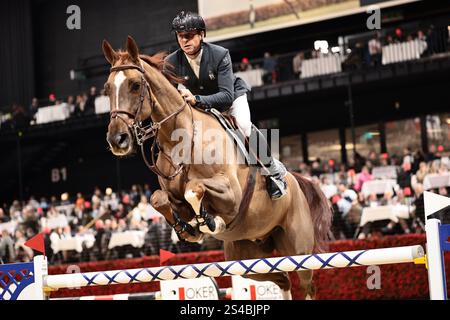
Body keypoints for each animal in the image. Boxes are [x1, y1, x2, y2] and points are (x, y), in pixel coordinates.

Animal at [103, 37, 332, 300]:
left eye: (135, 85)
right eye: (106, 89)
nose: (117, 140)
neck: (181, 140)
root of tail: (295, 180)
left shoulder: (232, 195)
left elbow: (194, 188)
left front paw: (210, 222)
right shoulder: (171, 195)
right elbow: (159, 199)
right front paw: (189, 229)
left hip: (299, 250)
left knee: (306, 283)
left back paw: (276, 182)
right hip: (246, 258)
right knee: (282, 279)